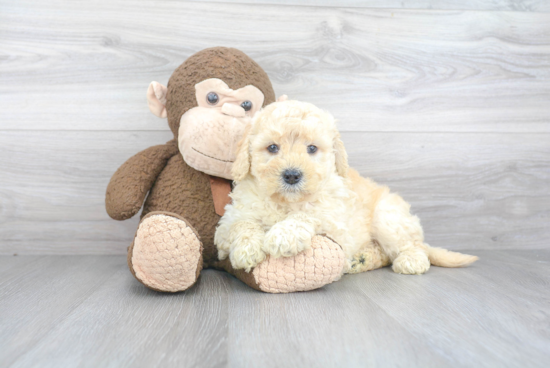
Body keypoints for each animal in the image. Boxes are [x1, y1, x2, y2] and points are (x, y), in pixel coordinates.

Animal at [215, 100, 478, 274]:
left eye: (312, 149)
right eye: (272, 148)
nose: (291, 175)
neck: (286, 202)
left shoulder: (335, 223)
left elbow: (308, 214)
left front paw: (283, 235)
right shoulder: (231, 218)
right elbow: (242, 224)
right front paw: (246, 249)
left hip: (388, 218)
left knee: (413, 246)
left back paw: (411, 260)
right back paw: (361, 260)